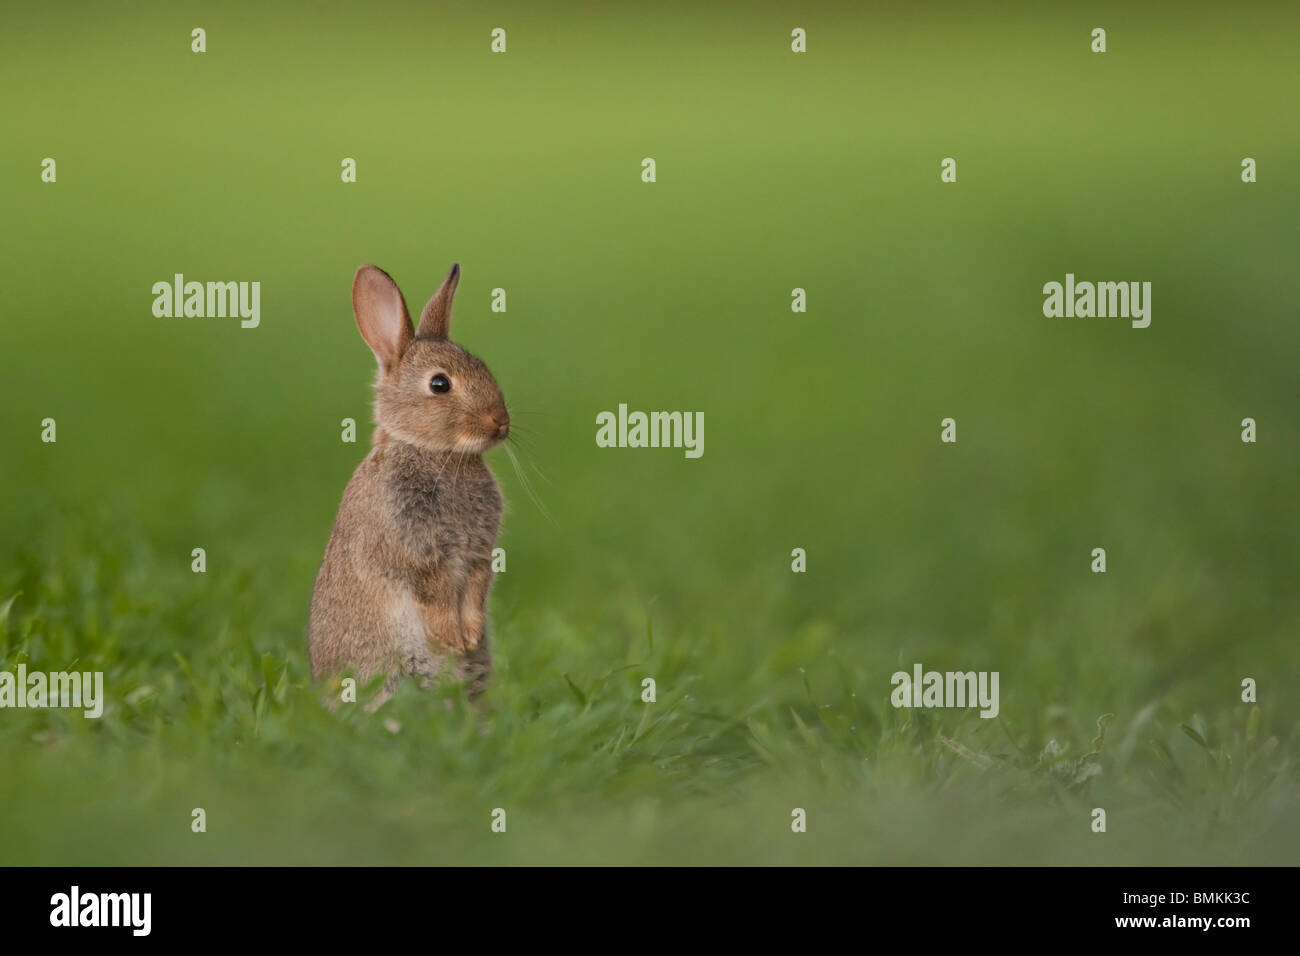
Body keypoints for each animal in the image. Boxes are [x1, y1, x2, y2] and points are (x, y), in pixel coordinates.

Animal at [309, 263, 508, 708]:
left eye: (484, 366)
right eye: (440, 384)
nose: (500, 422)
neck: (431, 451)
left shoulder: (478, 554)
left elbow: (476, 587)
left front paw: (469, 637)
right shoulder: (412, 551)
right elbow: (434, 594)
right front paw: (452, 638)